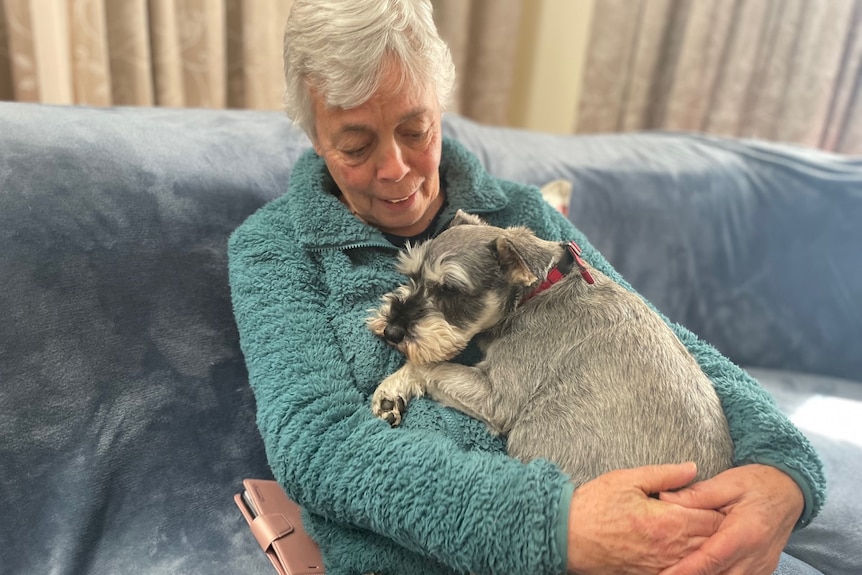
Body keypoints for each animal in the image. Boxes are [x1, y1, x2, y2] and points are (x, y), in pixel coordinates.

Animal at [368, 212, 732, 486]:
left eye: (450, 289)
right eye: (412, 276)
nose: (392, 330)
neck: (537, 290)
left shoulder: (497, 397)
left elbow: (430, 367)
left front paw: (391, 385)